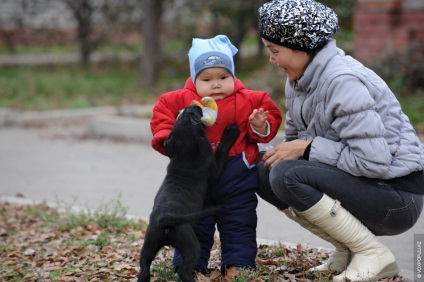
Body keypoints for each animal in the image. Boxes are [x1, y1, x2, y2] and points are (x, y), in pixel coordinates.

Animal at [138, 103, 240, 282]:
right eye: (194, 118)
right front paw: (231, 132)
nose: (193, 105)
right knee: (184, 270)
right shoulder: (214, 170)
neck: (186, 154)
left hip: (149, 242)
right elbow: (221, 151)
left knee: (144, 267)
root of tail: (164, 219)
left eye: (188, 115)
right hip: (190, 244)